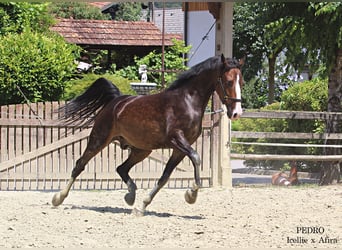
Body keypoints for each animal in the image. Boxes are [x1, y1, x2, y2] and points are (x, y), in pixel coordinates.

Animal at [51, 54, 243, 215]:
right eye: (228, 81)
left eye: (241, 81)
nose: (236, 113)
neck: (187, 102)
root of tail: (116, 101)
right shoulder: (177, 140)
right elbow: (196, 158)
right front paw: (191, 194)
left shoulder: (179, 149)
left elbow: (164, 177)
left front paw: (142, 206)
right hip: (99, 139)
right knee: (80, 165)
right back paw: (58, 198)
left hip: (142, 150)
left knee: (121, 168)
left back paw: (130, 196)